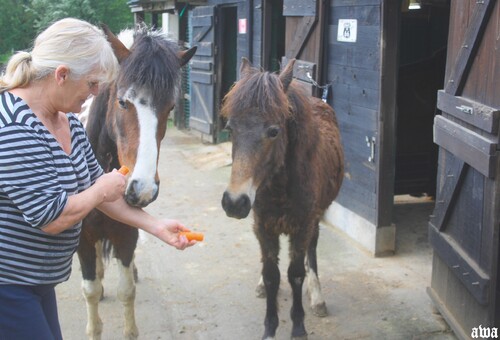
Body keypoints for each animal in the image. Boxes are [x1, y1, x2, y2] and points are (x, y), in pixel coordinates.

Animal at [222, 58, 344, 340]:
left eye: (274, 131)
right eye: (230, 128)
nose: (234, 202)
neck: (279, 188)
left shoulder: (302, 226)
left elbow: (295, 274)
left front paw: (298, 327)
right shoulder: (263, 226)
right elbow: (271, 275)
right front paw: (269, 328)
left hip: (315, 218)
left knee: (313, 249)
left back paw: (317, 296)